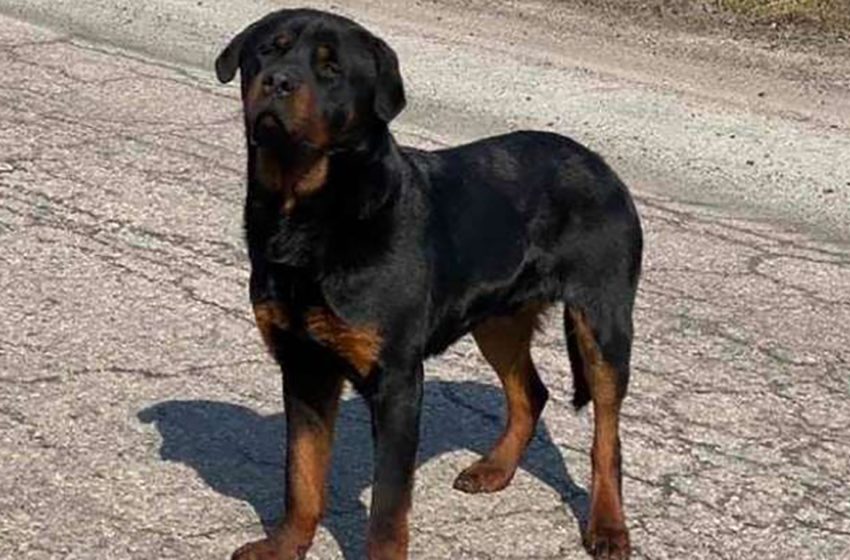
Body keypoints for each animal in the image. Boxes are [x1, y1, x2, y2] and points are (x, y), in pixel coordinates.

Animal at [215, 8, 640, 560]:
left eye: (330, 68)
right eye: (267, 49)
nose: (278, 81)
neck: (310, 210)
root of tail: (601, 164)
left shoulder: (397, 382)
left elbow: (388, 508)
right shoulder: (304, 365)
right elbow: (301, 475)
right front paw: (285, 545)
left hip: (603, 322)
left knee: (607, 435)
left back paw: (608, 527)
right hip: (498, 320)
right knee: (530, 392)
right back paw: (494, 469)